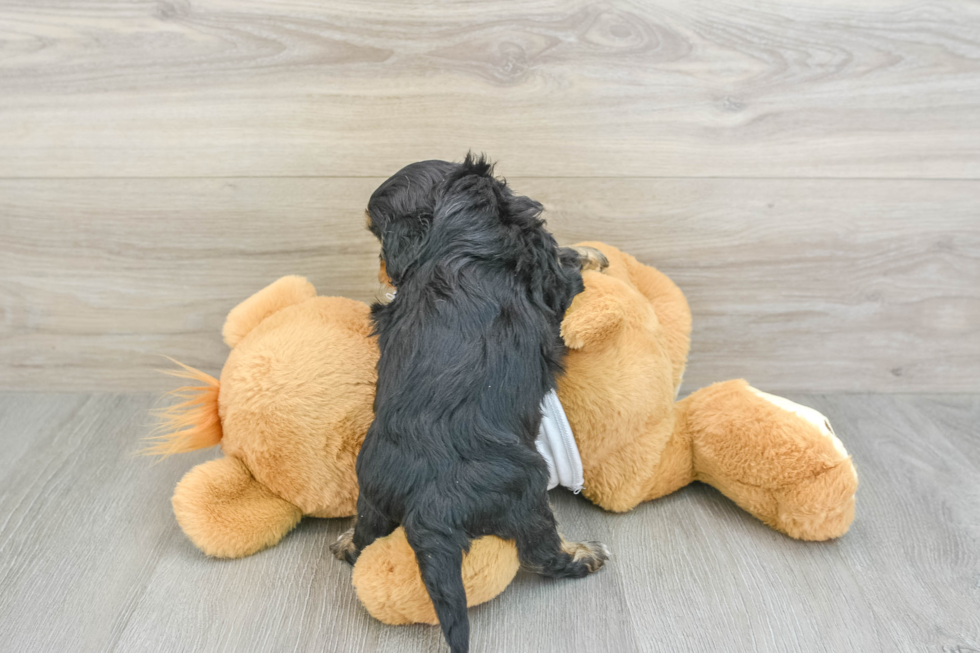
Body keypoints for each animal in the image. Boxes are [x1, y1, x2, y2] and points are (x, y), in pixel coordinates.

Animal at [334, 155, 608, 652]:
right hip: (526, 486)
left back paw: (346, 541)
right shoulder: (552, 277)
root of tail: (428, 505)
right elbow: (568, 264)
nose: (385, 272)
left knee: (367, 531)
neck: (459, 218)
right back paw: (583, 555)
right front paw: (592, 254)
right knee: (540, 551)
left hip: (375, 490)